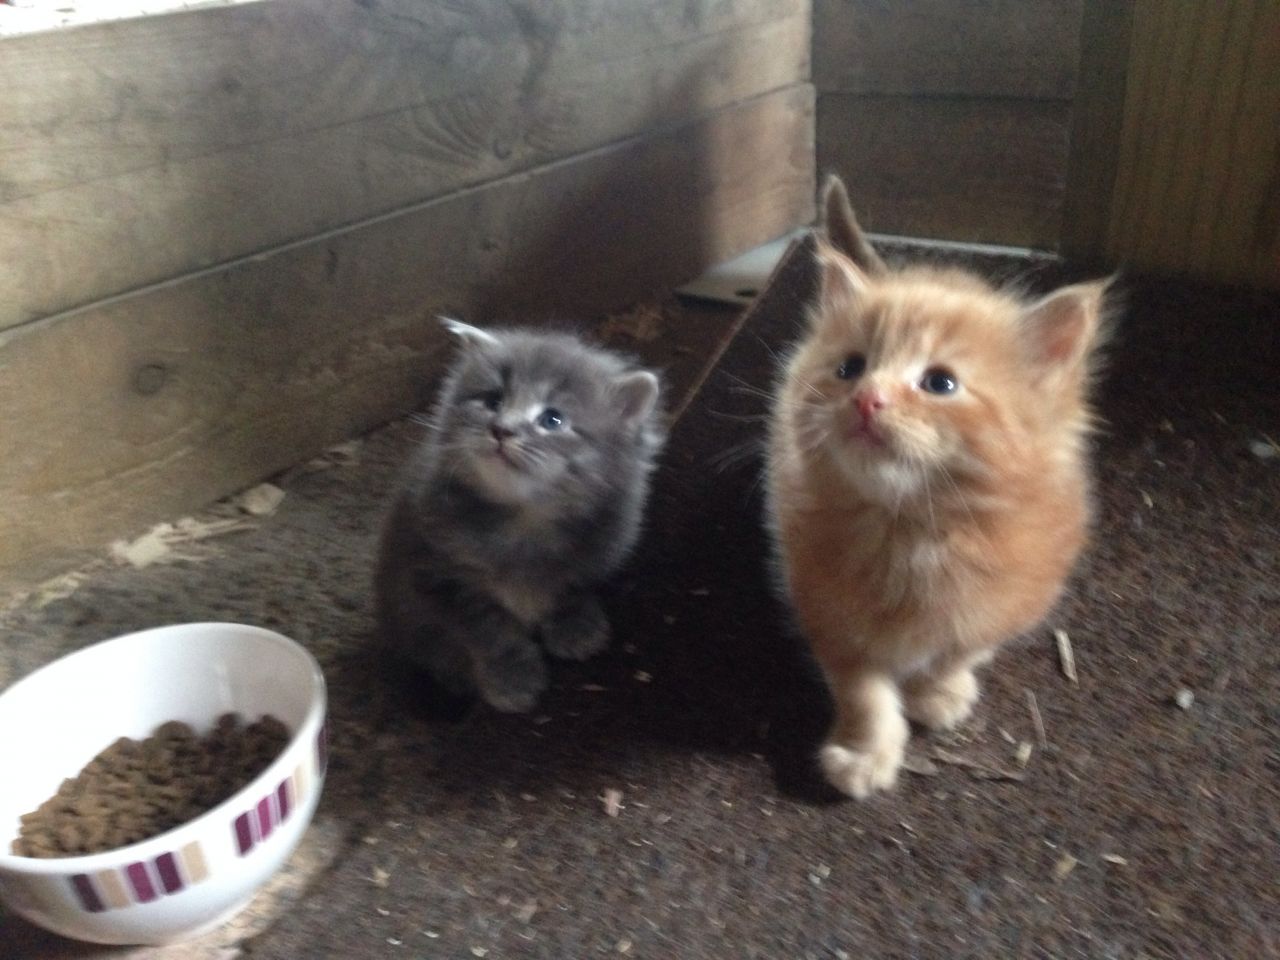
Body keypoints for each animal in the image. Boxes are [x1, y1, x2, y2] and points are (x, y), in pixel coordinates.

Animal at [373, 321, 665, 716]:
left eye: (553, 420)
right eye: (493, 402)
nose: (502, 429)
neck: (525, 521)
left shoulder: (594, 552)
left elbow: (571, 586)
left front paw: (577, 627)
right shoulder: (435, 574)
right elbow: (491, 630)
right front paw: (513, 678)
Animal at [757, 176, 1111, 798]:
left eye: (939, 383)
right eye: (850, 368)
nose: (867, 399)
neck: (915, 532)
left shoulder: (1017, 596)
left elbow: (960, 647)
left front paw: (939, 690)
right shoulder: (823, 606)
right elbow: (863, 689)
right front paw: (864, 752)